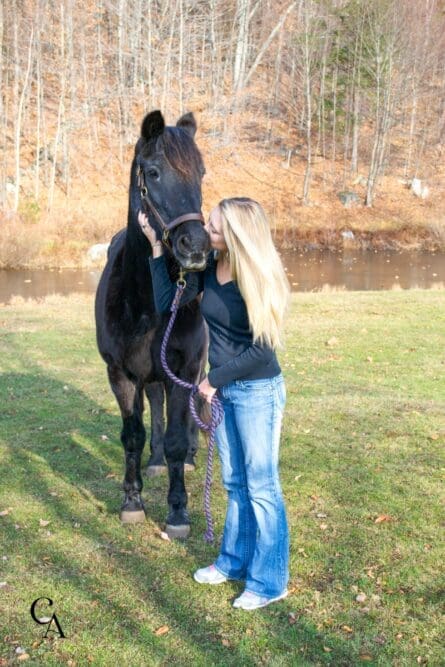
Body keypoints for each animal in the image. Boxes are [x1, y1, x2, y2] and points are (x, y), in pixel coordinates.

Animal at [94, 108, 209, 536]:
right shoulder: (121, 374)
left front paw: (177, 511)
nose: (197, 247)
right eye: (154, 172)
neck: (144, 302)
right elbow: (133, 435)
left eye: (201, 173)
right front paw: (132, 500)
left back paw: (189, 458)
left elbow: (176, 433)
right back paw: (157, 462)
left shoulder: (184, 367)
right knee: (156, 406)